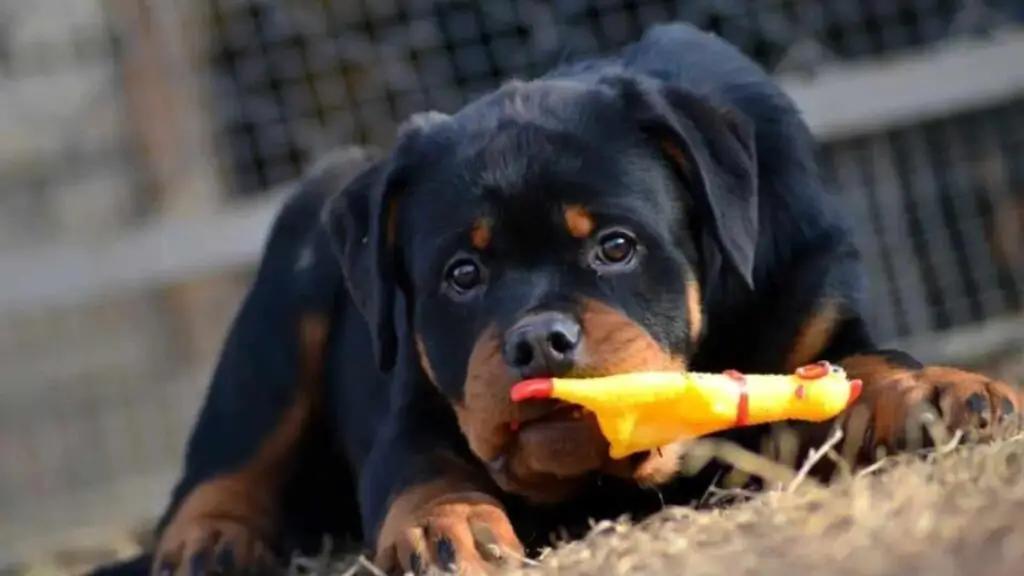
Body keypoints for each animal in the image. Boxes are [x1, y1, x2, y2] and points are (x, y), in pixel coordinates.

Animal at [94, 22, 1015, 573]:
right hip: (283, 303)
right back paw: (211, 539)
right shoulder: (417, 401)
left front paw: (940, 389)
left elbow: (865, 362)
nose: (539, 341)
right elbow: (422, 467)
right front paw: (446, 525)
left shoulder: (814, 311)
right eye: (463, 276)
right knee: (220, 461)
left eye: (615, 247)